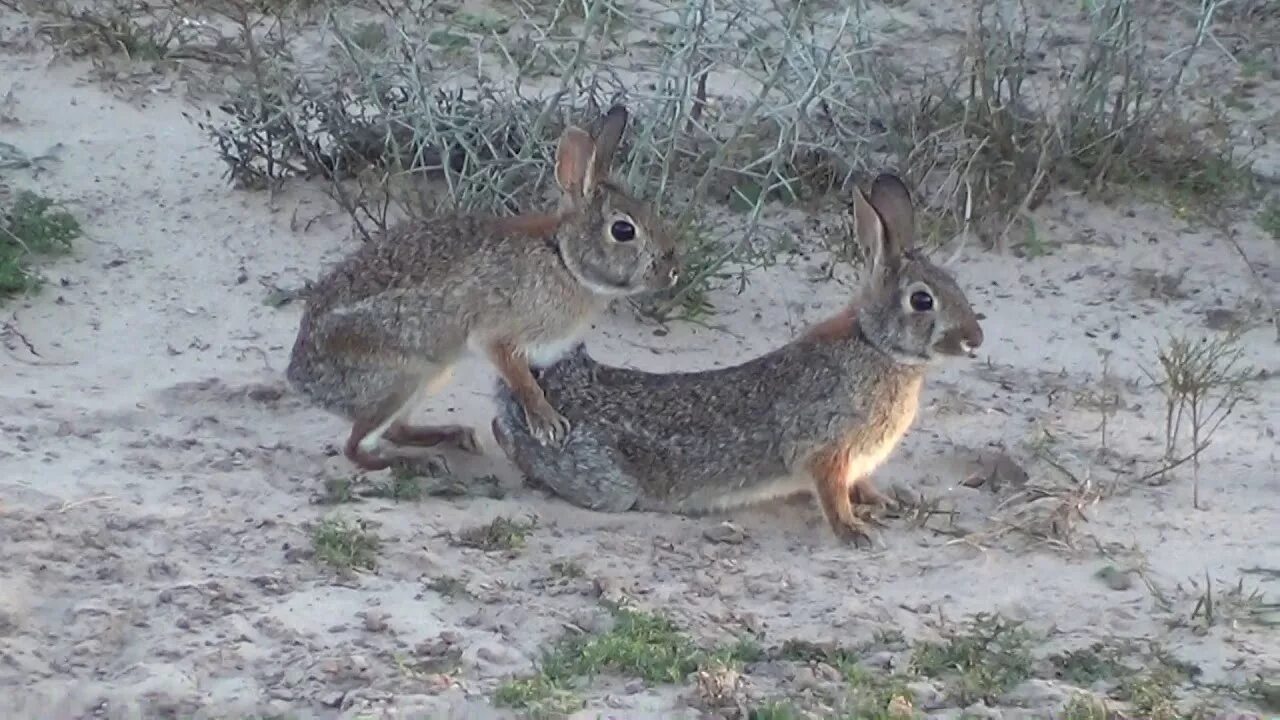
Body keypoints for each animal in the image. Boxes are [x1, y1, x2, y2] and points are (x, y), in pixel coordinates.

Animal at [286, 105, 680, 472]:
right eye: (623, 230)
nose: (673, 272)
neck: (563, 260)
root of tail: (303, 380)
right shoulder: (496, 335)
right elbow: (521, 380)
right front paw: (547, 424)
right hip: (398, 380)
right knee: (356, 447)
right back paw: (413, 463)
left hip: (429, 378)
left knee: (394, 430)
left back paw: (451, 435)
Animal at [489, 172, 984, 545]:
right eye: (922, 301)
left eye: (953, 284)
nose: (975, 339)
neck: (876, 346)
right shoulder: (824, 448)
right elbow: (830, 492)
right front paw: (854, 532)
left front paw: (882, 503)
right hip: (609, 484)